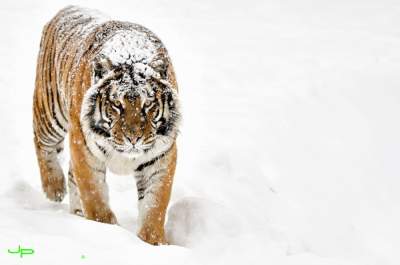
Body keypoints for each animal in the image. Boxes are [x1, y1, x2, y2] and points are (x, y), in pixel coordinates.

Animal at [32, 5, 180, 245]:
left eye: (147, 104)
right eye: (117, 105)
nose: (133, 139)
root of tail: (67, 8)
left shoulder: (160, 158)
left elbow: (154, 206)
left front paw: (153, 243)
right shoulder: (85, 150)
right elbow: (95, 199)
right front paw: (108, 233)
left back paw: (76, 212)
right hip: (50, 111)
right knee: (43, 144)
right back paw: (54, 188)